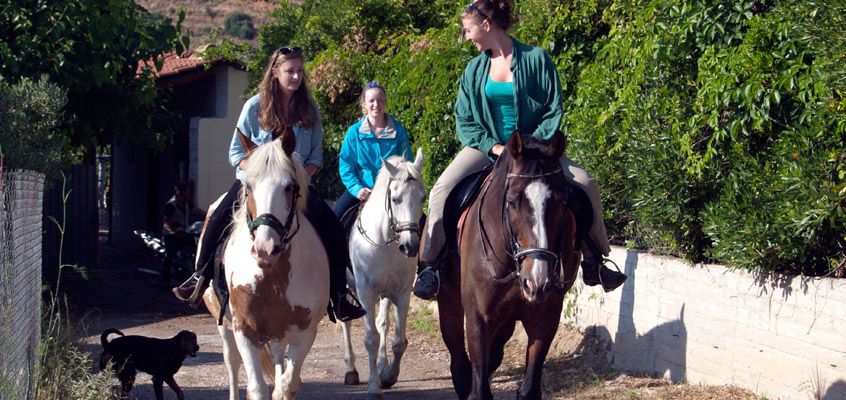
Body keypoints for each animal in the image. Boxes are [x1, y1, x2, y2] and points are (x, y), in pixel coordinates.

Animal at [203, 133, 332, 398]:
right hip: (224, 325)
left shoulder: (305, 333)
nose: (265, 249)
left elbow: (287, 384)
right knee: (232, 363)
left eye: (289, 187)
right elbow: (257, 388)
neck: (274, 276)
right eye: (249, 187)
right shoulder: (245, 331)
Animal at [342, 148, 428, 398]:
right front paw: (374, 386)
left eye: (422, 197)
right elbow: (370, 339)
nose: (410, 246)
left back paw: (382, 364)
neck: (386, 241)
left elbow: (398, 340)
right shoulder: (366, 293)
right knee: (346, 322)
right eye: (396, 198)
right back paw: (351, 370)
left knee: (382, 324)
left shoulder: (402, 293)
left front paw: (388, 375)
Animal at [438, 133, 584, 398]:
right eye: (513, 201)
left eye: (561, 201)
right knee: (459, 360)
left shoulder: (546, 316)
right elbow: (480, 387)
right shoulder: (477, 318)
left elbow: (529, 388)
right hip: (448, 302)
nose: (537, 282)